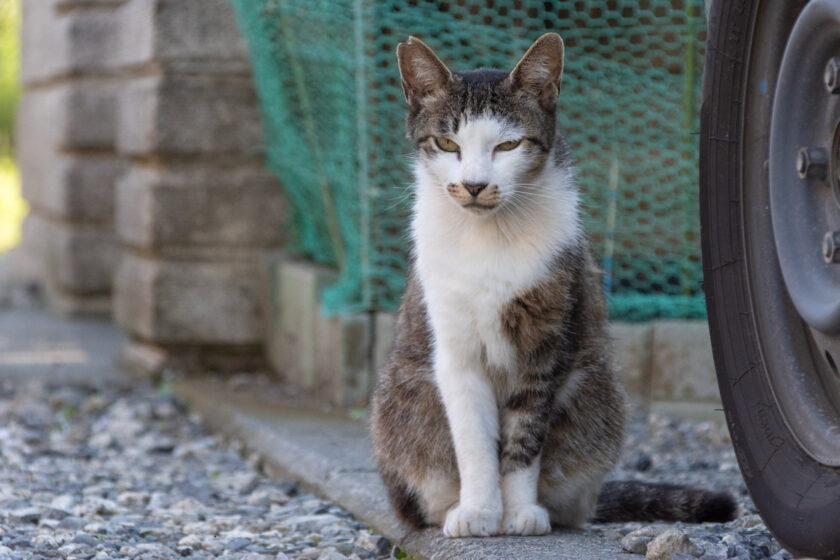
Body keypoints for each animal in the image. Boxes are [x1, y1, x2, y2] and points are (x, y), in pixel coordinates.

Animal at [370, 31, 736, 540]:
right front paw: (479, 511)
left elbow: (526, 437)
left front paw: (520, 511)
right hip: (399, 404)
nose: (475, 185)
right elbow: (474, 440)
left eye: (508, 145)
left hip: (598, 393)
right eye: (446, 142)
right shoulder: (456, 349)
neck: (489, 237)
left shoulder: (549, 342)